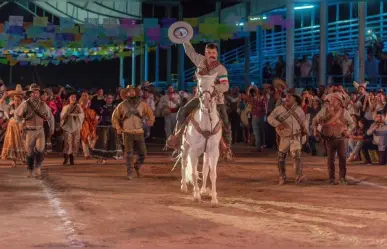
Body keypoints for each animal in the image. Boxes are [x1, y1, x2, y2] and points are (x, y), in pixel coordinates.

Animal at [179, 71, 221, 204]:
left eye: (213, 85)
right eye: (200, 85)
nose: (206, 101)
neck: (206, 124)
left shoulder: (214, 151)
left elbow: (212, 173)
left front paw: (214, 198)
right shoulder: (193, 152)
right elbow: (193, 173)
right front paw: (196, 195)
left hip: (205, 152)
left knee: (205, 168)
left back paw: (203, 190)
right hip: (185, 147)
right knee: (184, 164)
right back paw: (184, 187)